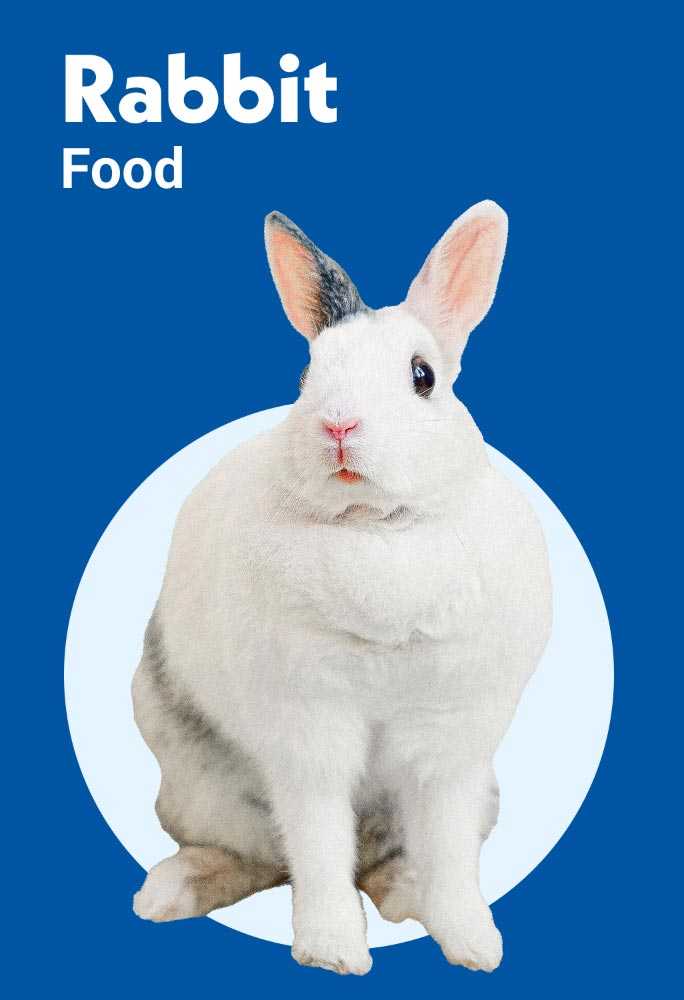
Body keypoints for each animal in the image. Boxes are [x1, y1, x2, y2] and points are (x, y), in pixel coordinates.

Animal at [132, 200, 552, 976]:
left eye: (423, 375)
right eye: (308, 375)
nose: (338, 425)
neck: (374, 528)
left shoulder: (450, 745)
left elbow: (450, 848)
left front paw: (475, 945)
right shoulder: (309, 732)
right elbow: (320, 841)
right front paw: (332, 953)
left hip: (478, 792)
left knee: (391, 859)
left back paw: (409, 893)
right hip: (205, 791)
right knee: (264, 858)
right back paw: (170, 891)